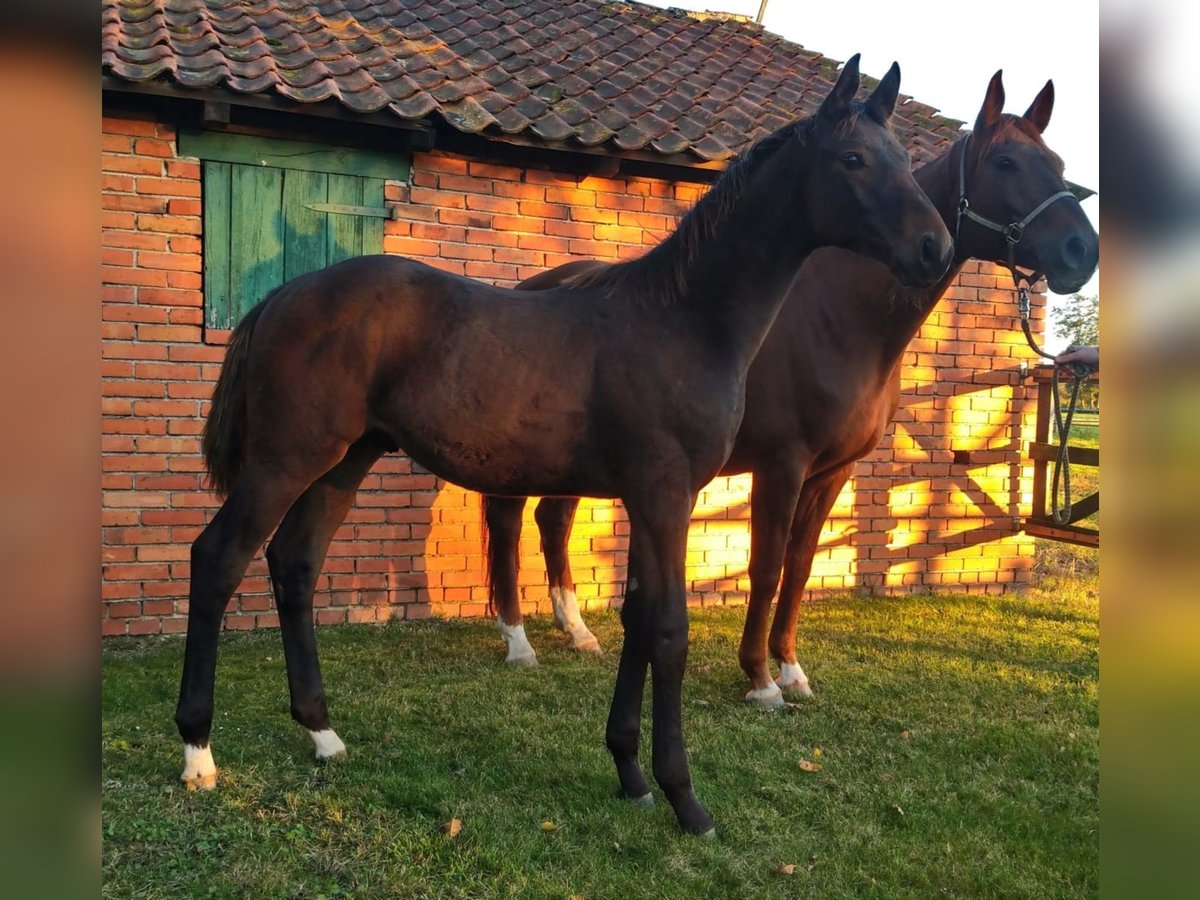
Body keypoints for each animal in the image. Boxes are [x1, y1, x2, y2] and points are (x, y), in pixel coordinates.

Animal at [175, 54, 955, 830]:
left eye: (902, 159)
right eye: (853, 159)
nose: (936, 247)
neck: (684, 318)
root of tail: (282, 296)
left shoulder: (648, 499)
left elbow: (638, 619)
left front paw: (630, 772)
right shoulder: (668, 495)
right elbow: (668, 632)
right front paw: (684, 796)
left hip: (345, 463)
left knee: (295, 565)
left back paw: (322, 732)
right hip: (284, 462)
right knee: (217, 559)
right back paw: (198, 753)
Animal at [482, 72, 1099, 705]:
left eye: (1057, 162)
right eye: (1005, 162)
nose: (1081, 251)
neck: (838, 319)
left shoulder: (834, 471)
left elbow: (802, 565)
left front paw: (790, 668)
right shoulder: (781, 463)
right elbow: (767, 566)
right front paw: (758, 678)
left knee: (553, 520)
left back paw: (577, 631)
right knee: (508, 520)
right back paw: (518, 641)